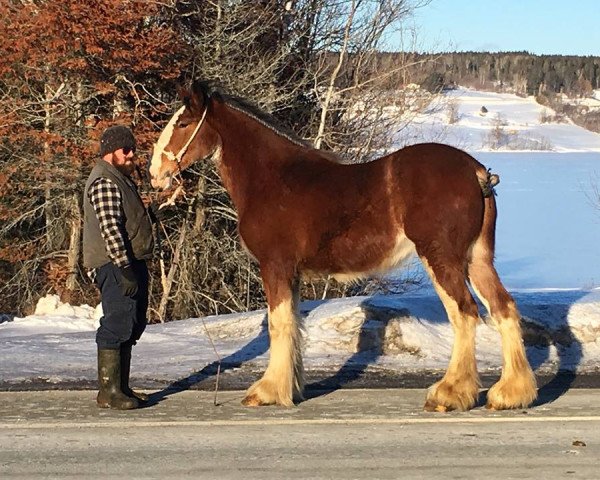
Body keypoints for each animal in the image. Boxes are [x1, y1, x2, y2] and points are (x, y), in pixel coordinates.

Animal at [150, 80, 540, 410]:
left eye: (184, 123)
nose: (155, 173)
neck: (275, 178)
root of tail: (477, 172)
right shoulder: (291, 273)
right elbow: (293, 324)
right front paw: (290, 388)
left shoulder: (275, 265)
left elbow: (278, 324)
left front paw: (267, 391)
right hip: (477, 260)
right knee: (503, 309)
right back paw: (509, 394)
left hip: (442, 258)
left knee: (465, 313)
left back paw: (449, 393)